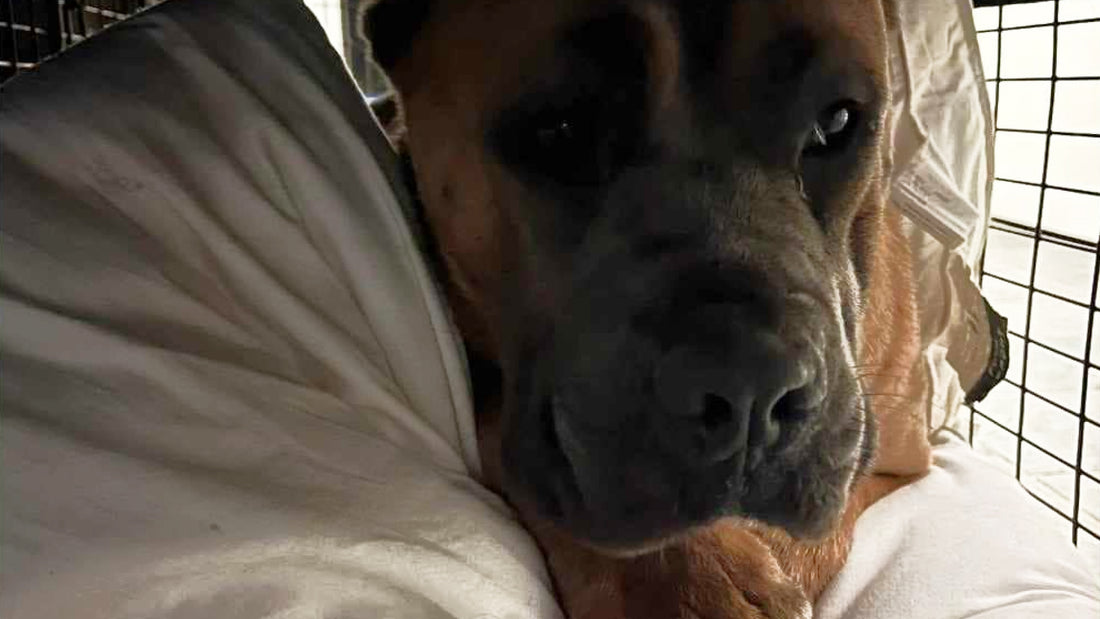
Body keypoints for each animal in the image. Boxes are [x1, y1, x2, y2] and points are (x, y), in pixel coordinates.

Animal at [360, 1, 928, 615]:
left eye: (836, 122)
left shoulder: (896, 462)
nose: (751, 388)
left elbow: (815, 535)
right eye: (559, 131)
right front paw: (685, 576)